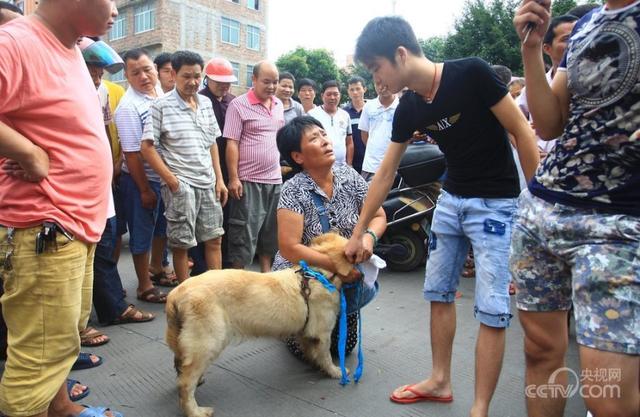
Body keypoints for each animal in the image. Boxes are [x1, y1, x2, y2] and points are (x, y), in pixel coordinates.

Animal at [166, 232, 356, 416]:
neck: (318, 275)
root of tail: (175, 295)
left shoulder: (306, 334)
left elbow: (312, 352)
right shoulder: (322, 333)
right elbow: (326, 356)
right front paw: (336, 372)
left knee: (180, 367)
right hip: (208, 341)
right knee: (184, 384)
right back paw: (196, 411)